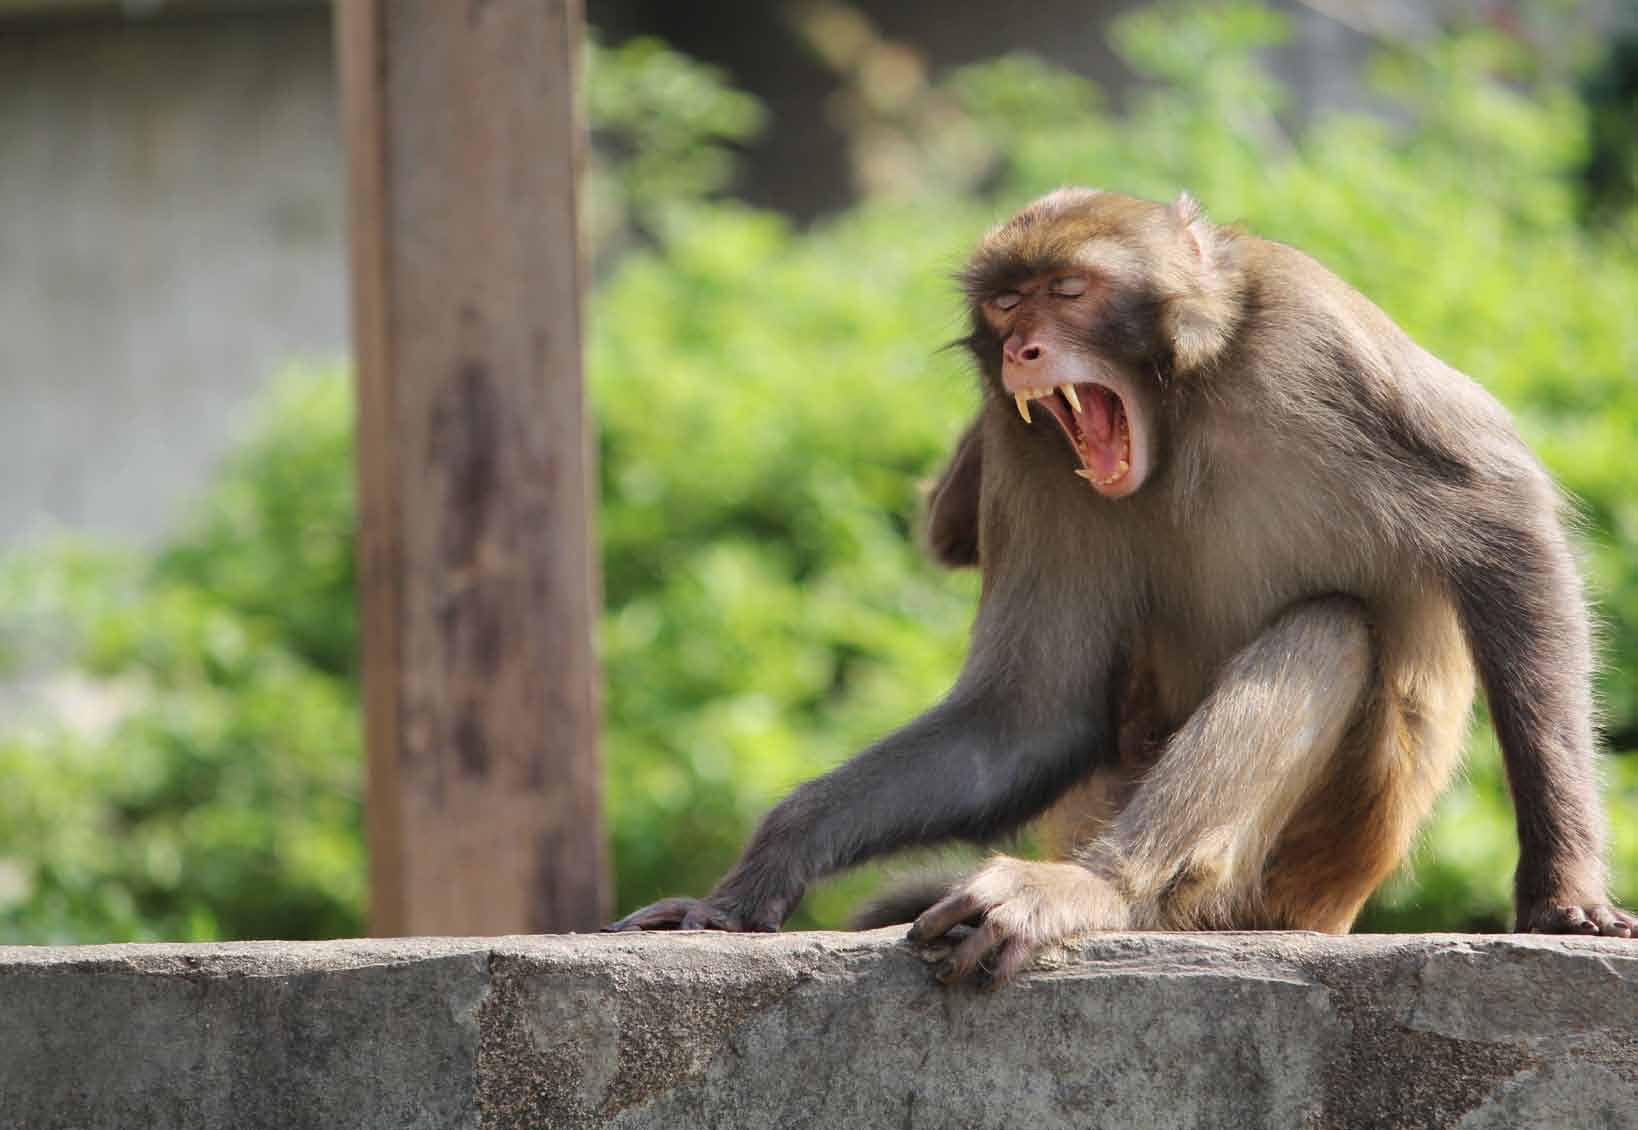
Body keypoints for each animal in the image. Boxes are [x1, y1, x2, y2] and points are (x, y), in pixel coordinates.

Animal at [606, 189, 1638, 982]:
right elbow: (1029, 716)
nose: (1022, 351)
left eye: (1070, 292)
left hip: (1310, 860)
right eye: (1008, 305)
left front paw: (1563, 891)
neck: (1185, 408)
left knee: (1330, 629)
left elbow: (1505, 529)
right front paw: (764, 866)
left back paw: (1098, 889)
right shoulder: (1024, 449)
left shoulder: (1319, 339)